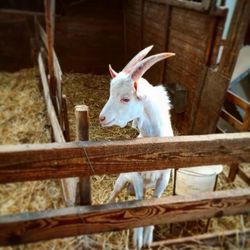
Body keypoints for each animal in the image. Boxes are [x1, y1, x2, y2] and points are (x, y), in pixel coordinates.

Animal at [98, 46, 175, 249]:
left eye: (126, 99)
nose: (101, 118)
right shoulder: (137, 178)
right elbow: (140, 207)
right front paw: (138, 241)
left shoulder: (163, 179)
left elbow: (154, 205)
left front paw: (147, 240)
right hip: (122, 180)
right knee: (114, 194)